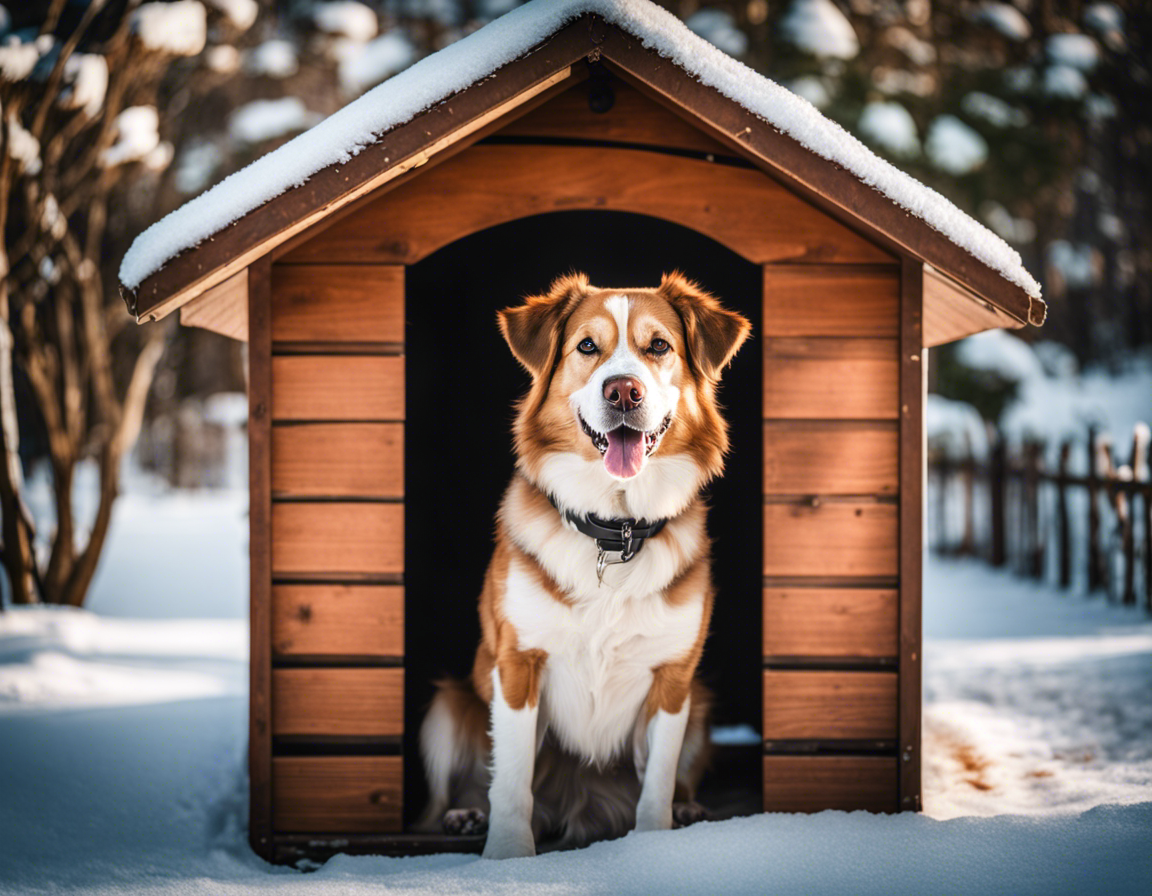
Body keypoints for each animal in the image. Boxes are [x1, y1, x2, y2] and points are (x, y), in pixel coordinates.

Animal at [419, 268, 751, 856]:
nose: (623, 390)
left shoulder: (673, 682)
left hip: (700, 707)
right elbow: (511, 780)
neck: (615, 531)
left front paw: (654, 841)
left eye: (658, 346)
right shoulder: (518, 664)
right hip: (446, 707)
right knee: (449, 795)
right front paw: (507, 855)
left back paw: (688, 809)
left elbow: (657, 781)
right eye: (587, 347)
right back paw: (465, 815)